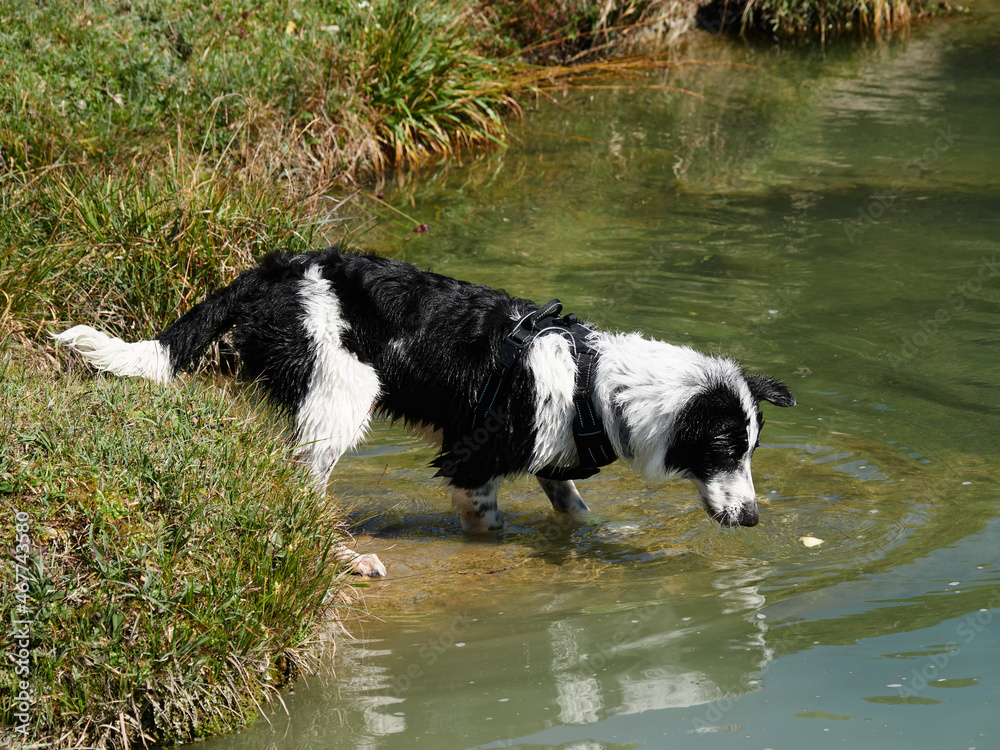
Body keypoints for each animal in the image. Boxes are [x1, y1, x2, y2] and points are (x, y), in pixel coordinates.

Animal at [54, 250, 792, 580]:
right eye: (727, 451)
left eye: (749, 451)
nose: (755, 520)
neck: (597, 384)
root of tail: (280, 267)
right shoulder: (470, 459)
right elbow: (488, 521)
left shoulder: (550, 460)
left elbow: (574, 508)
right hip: (342, 397)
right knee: (302, 488)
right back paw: (348, 558)